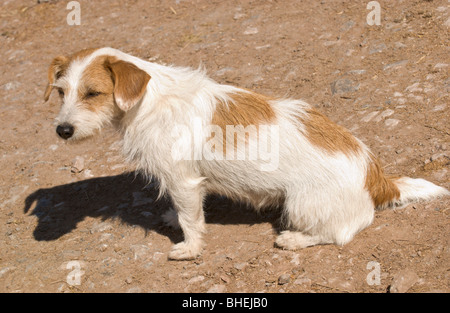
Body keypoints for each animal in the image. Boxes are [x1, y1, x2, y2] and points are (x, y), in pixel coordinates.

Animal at [44, 47, 448, 260]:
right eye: (61, 91)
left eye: (93, 93)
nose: (62, 130)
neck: (147, 101)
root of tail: (379, 178)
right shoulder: (180, 185)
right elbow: (181, 211)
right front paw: (173, 220)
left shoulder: (184, 180)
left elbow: (192, 219)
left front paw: (189, 248)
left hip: (300, 203)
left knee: (339, 233)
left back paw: (294, 239)